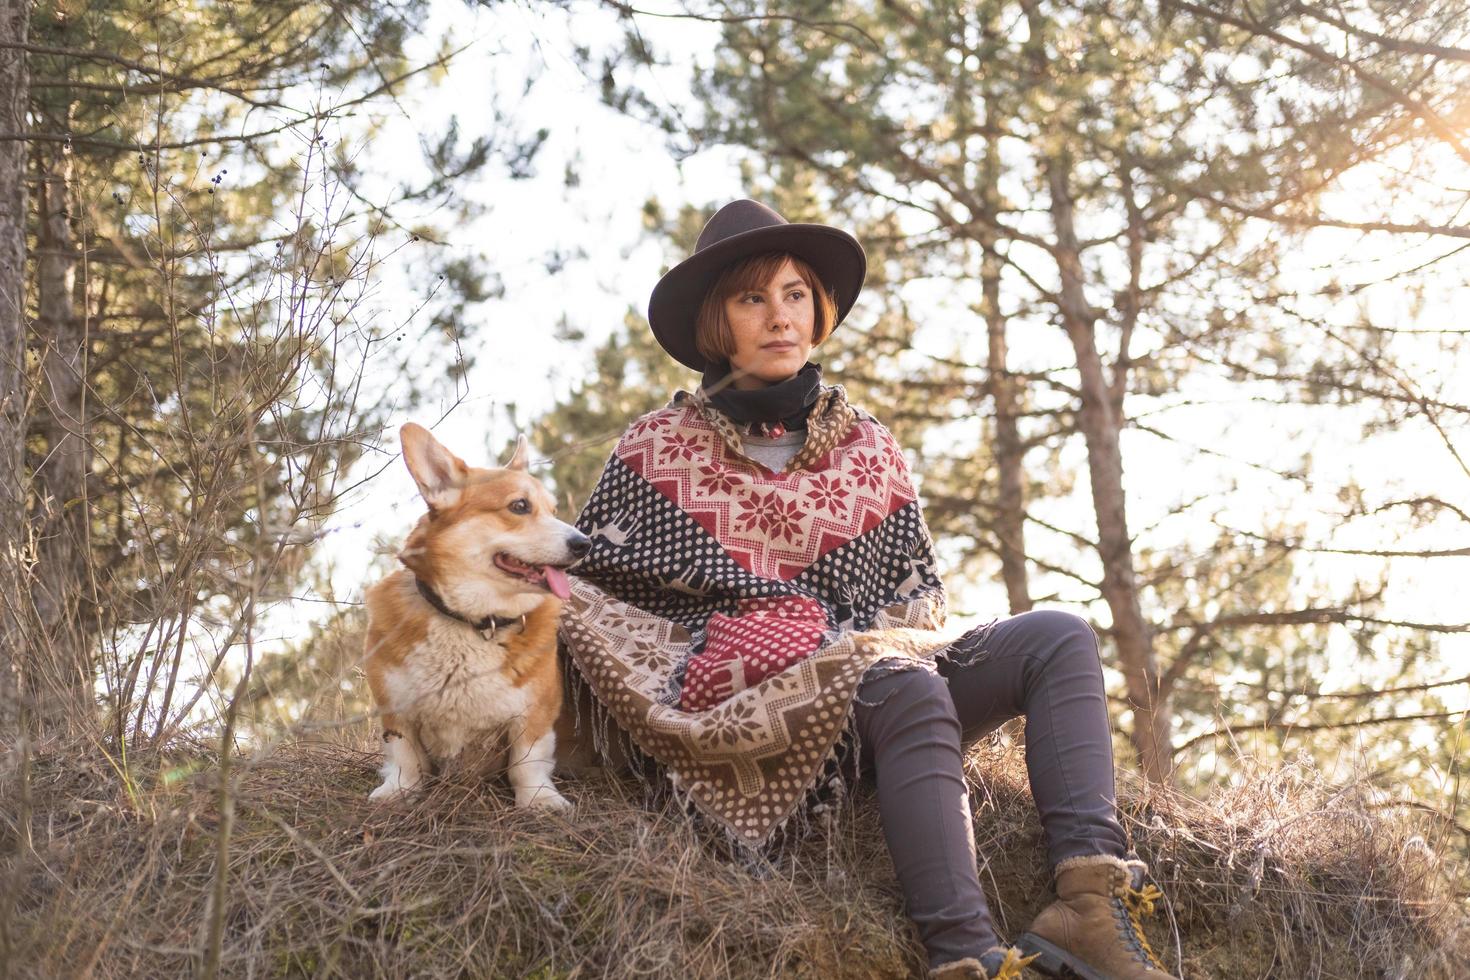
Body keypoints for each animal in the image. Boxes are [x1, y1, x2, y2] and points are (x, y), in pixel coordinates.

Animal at [364, 426, 588, 811]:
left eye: (554, 510)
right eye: (519, 506)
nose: (584, 544)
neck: (474, 621)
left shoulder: (536, 714)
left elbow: (527, 761)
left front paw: (539, 799)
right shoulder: (394, 710)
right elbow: (404, 756)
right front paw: (397, 791)